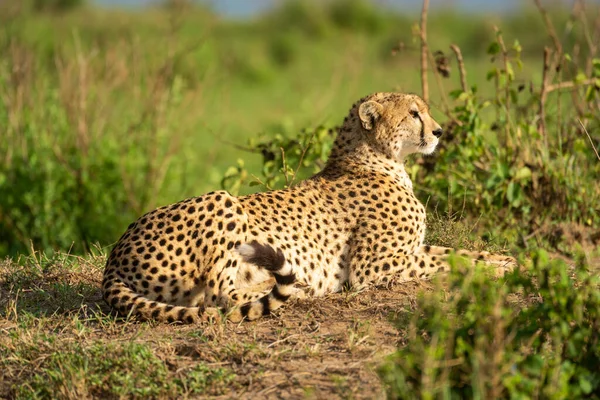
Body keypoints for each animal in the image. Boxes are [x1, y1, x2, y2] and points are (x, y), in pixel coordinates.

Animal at [103, 92, 516, 324]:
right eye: (414, 114)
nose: (439, 131)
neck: (379, 159)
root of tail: (114, 258)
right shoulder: (372, 269)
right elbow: (451, 262)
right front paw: (494, 271)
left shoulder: (410, 250)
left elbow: (458, 251)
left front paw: (506, 260)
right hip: (222, 199)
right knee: (218, 295)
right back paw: (299, 289)